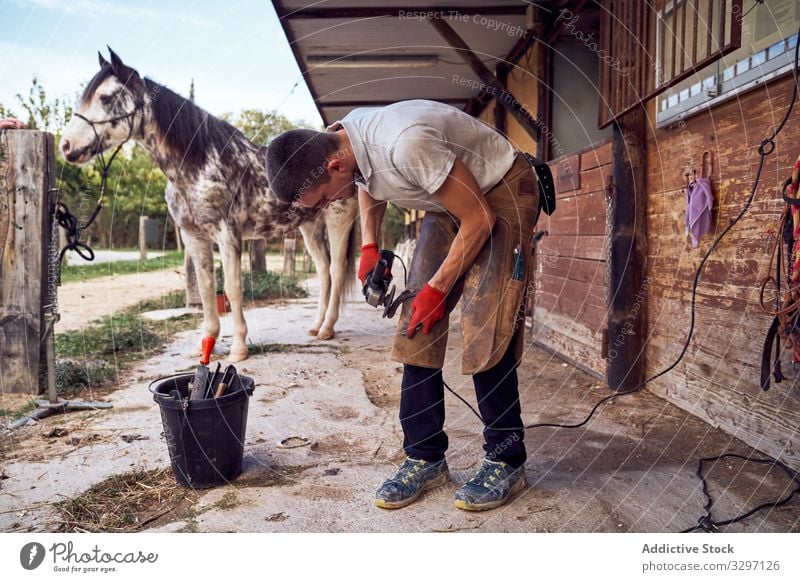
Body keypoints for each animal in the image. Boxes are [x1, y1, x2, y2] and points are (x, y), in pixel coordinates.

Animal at [61, 50, 360, 362]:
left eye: (106, 98)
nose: (66, 146)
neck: (198, 165)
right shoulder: (194, 237)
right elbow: (205, 288)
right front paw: (207, 341)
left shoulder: (227, 236)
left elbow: (232, 288)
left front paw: (239, 348)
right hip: (310, 227)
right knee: (323, 271)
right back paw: (316, 326)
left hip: (338, 221)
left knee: (336, 272)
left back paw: (327, 329)